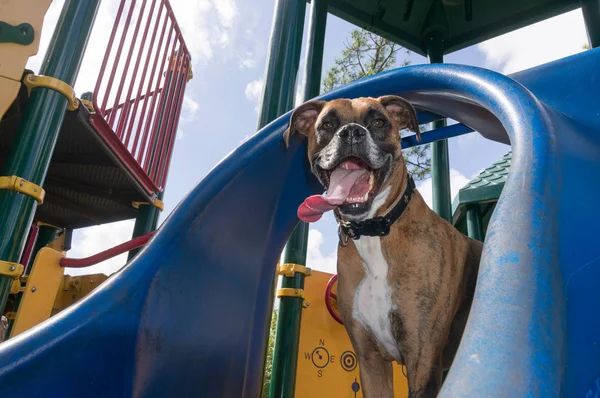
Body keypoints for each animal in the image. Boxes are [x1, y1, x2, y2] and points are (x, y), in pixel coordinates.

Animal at [282, 95, 482, 394]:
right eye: (327, 124)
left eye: (378, 122)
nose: (351, 132)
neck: (373, 233)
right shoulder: (370, 361)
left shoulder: (422, 360)